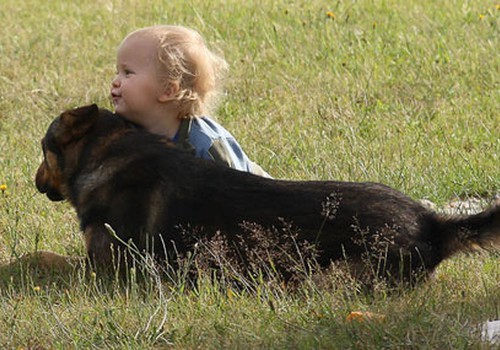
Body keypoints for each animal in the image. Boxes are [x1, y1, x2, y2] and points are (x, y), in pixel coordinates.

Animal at [36, 104, 500, 284]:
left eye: (42, 150)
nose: (35, 182)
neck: (105, 151)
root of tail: (431, 223)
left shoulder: (107, 270)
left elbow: (45, 260)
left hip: (336, 276)